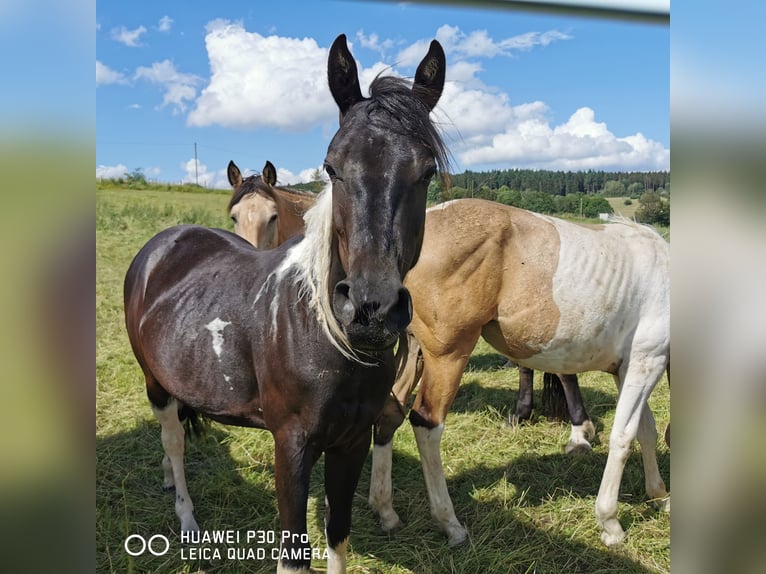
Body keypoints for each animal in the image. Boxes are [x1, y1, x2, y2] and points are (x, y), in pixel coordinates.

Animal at [123, 34, 449, 574]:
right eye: (332, 167)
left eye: (426, 172)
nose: (371, 309)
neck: (324, 337)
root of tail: (163, 243)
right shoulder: (291, 447)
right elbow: (294, 553)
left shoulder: (352, 442)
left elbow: (337, 535)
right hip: (155, 383)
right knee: (173, 440)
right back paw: (186, 516)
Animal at [368, 198, 670, 548]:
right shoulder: (647, 362)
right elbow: (624, 437)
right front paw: (610, 523)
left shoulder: (628, 369)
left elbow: (646, 431)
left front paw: (660, 496)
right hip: (447, 356)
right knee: (426, 424)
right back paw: (450, 523)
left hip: (414, 349)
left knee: (389, 411)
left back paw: (385, 510)